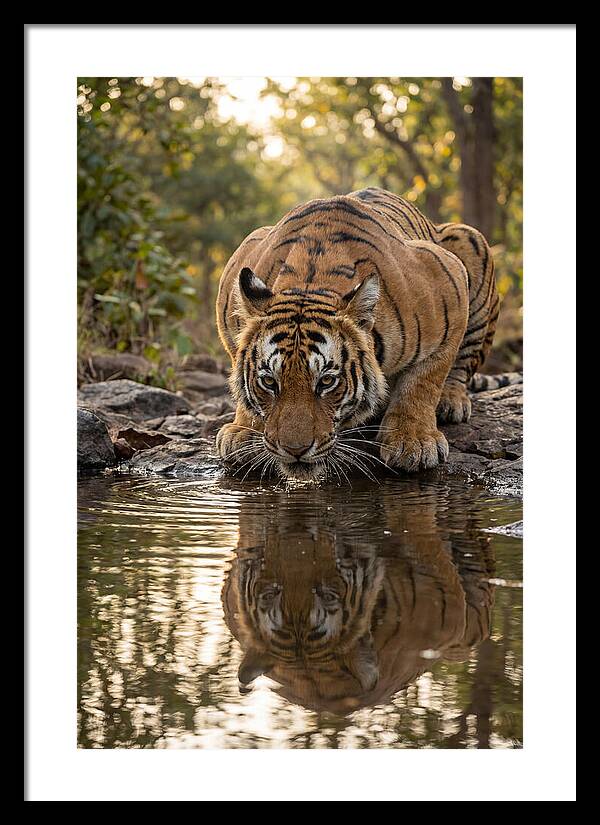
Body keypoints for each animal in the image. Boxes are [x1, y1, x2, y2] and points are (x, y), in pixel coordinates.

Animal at [216, 187, 505, 480]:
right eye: (269, 382)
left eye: (326, 382)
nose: (294, 450)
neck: (310, 282)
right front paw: (243, 430)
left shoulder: (449, 281)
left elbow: (423, 380)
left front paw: (413, 441)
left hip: (470, 239)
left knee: (463, 363)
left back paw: (451, 401)